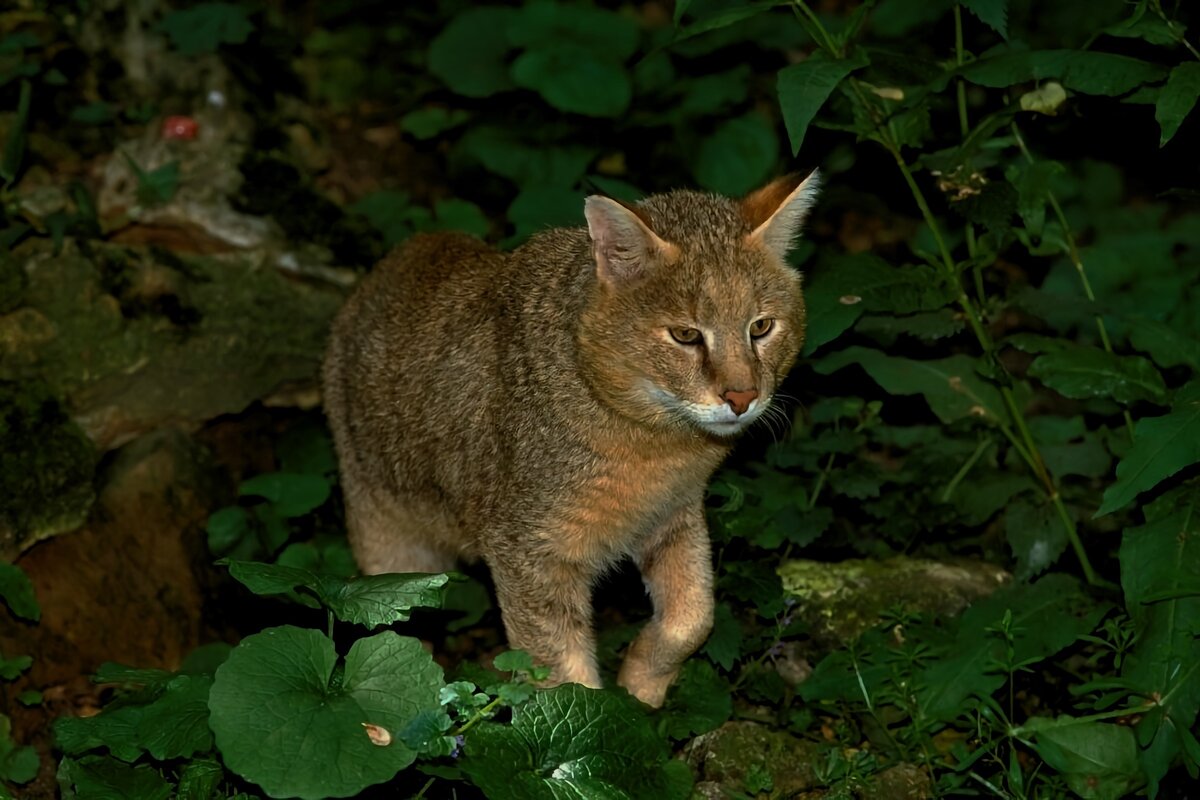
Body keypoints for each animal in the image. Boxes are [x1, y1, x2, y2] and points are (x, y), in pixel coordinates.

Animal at [324, 170, 820, 705]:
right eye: (686, 336)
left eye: (762, 327)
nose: (742, 396)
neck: (657, 442)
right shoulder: (527, 551)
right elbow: (564, 684)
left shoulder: (674, 516)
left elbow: (694, 619)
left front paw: (641, 687)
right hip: (389, 550)